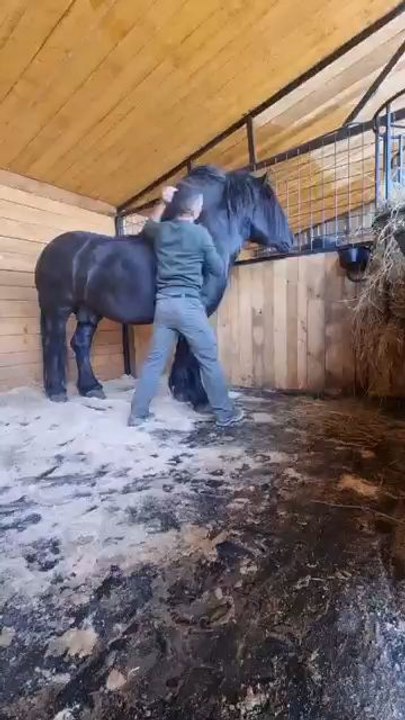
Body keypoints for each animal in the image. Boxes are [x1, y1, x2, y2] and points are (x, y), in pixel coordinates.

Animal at [35, 165, 294, 408]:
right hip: (57, 310)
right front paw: (199, 398)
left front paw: (182, 391)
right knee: (53, 343)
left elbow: (183, 349)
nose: (290, 242)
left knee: (80, 343)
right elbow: (191, 350)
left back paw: (91, 388)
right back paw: (57, 392)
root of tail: (48, 250)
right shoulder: (195, 309)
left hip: (89, 311)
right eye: (271, 201)